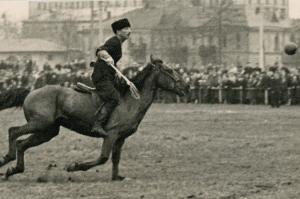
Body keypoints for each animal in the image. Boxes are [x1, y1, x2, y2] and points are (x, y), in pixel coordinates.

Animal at [0, 55, 189, 180]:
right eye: (169, 70)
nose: (186, 87)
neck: (131, 100)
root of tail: (30, 92)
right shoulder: (111, 134)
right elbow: (103, 157)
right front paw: (74, 166)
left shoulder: (120, 137)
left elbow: (115, 157)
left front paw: (116, 177)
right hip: (39, 123)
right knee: (13, 132)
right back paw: (8, 158)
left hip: (47, 131)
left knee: (21, 144)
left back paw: (12, 169)